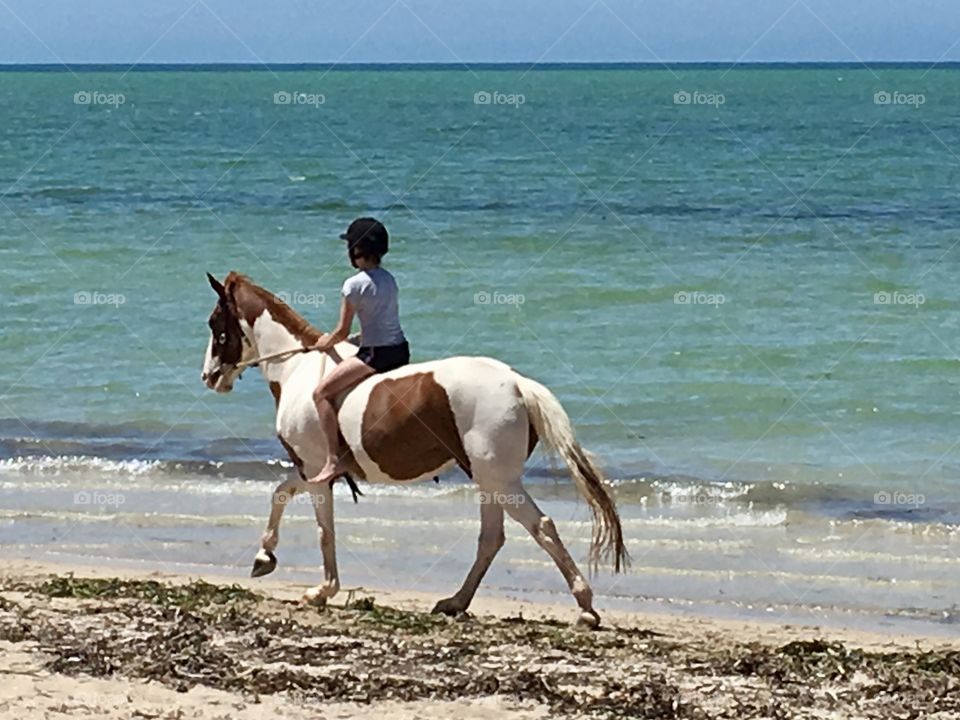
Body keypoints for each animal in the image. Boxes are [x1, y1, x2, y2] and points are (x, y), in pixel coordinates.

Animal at [199, 272, 628, 628]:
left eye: (216, 325)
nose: (209, 377)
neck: (298, 372)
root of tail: (517, 382)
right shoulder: (310, 470)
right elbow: (281, 494)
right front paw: (264, 558)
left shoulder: (318, 470)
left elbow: (323, 529)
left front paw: (321, 590)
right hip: (489, 480)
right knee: (492, 538)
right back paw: (455, 602)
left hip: (498, 479)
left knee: (541, 528)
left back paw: (585, 607)